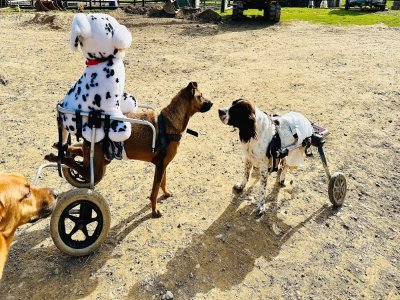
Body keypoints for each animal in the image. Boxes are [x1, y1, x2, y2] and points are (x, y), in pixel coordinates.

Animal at [45, 82, 212, 218]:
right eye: (200, 96)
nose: (212, 103)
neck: (170, 120)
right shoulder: (160, 166)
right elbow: (154, 190)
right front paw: (154, 210)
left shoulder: (163, 165)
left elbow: (162, 182)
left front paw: (165, 193)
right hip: (97, 169)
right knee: (77, 165)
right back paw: (54, 156)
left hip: (99, 158)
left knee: (76, 150)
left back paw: (61, 148)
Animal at [58, 13, 138, 145]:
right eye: (109, 28)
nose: (127, 31)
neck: (101, 61)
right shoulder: (110, 107)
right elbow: (118, 121)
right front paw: (120, 130)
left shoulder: (116, 99)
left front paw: (129, 102)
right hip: (78, 120)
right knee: (87, 129)